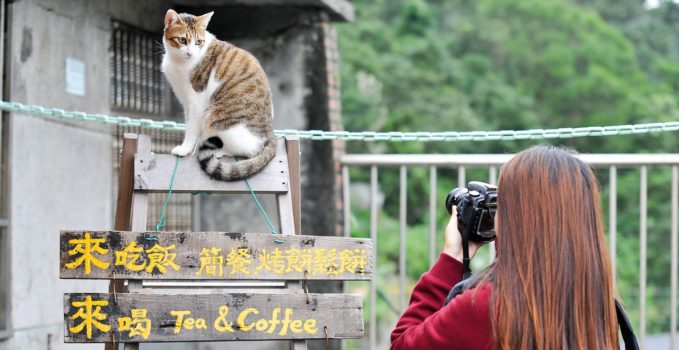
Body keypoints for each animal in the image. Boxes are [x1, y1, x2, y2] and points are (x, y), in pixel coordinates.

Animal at [161, 9, 276, 180]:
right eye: (182, 40)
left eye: (198, 42)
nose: (190, 53)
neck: (179, 62)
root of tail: (269, 132)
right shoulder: (185, 101)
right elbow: (190, 124)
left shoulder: (196, 101)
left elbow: (192, 128)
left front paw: (185, 149)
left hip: (217, 119)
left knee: (249, 150)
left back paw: (219, 151)